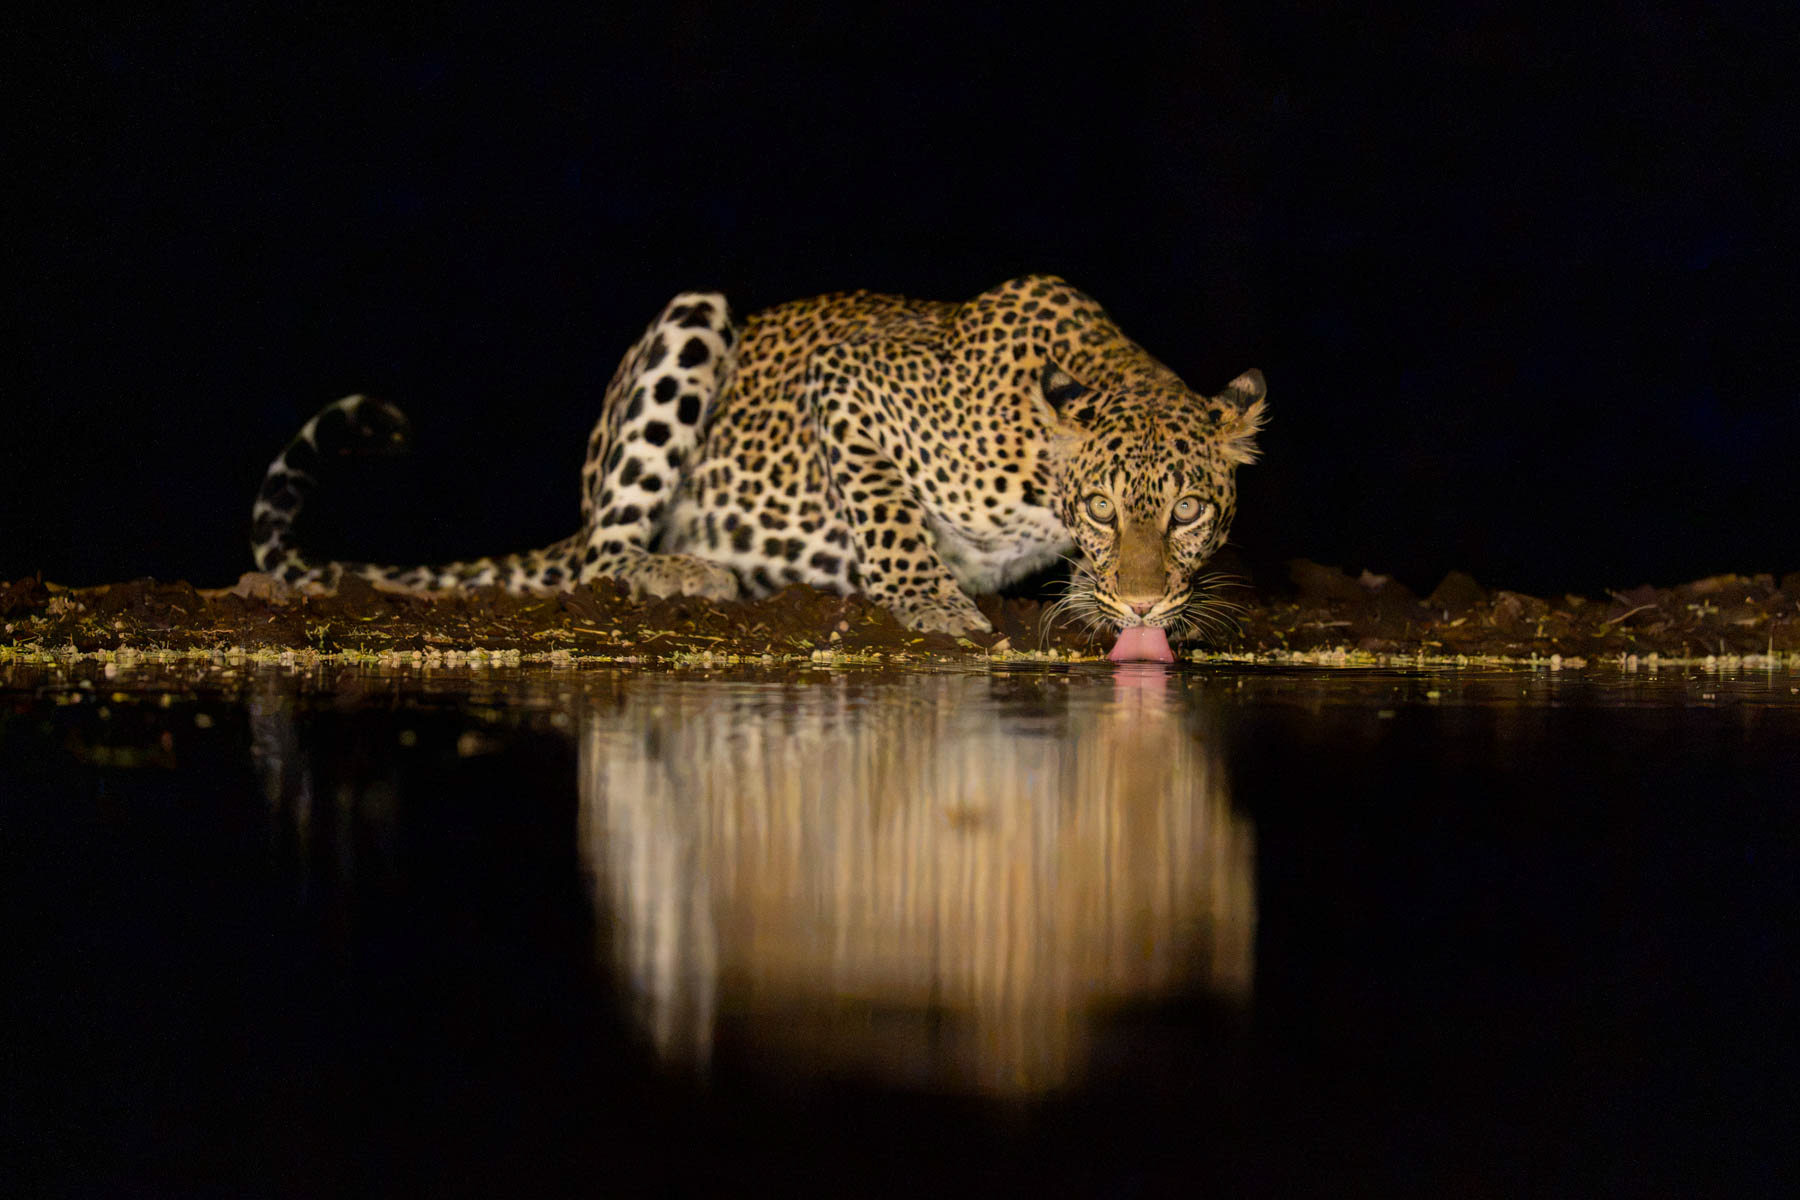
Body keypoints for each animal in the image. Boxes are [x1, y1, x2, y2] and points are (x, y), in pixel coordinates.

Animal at [250, 275, 1266, 641]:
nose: (1143, 605)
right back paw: (684, 573)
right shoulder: (851, 385)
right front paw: (935, 602)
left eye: (1187, 512)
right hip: (690, 322)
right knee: (602, 557)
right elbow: (889, 519)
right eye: (1100, 509)